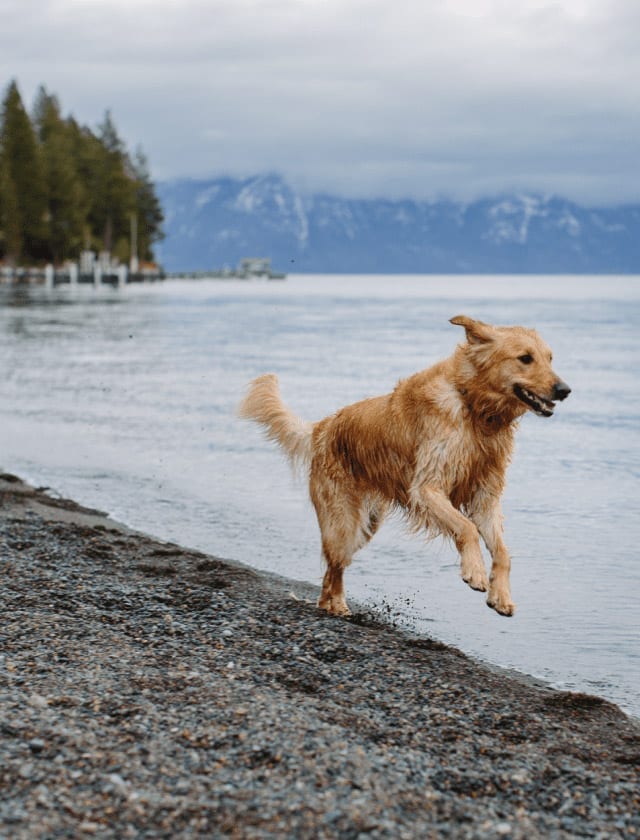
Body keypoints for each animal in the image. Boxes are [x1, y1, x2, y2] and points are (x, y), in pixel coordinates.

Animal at [239, 316, 568, 616]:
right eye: (525, 358)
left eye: (550, 358)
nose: (565, 390)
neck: (475, 409)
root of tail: (322, 427)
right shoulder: (427, 486)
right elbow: (466, 527)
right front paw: (474, 572)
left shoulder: (484, 496)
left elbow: (503, 551)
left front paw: (500, 596)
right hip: (343, 521)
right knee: (335, 564)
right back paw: (336, 606)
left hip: (367, 524)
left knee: (333, 569)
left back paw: (332, 605)